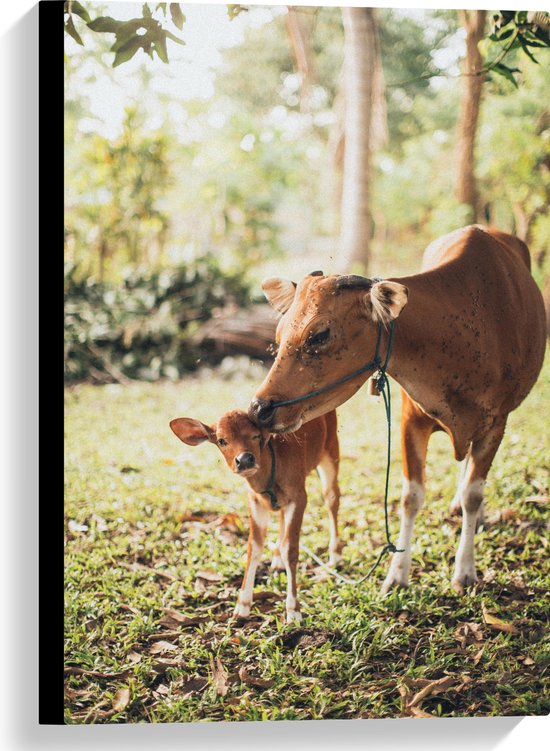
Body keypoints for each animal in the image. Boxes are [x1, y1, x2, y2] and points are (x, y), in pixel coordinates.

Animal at [250, 226, 548, 596]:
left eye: (319, 335)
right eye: (278, 336)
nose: (259, 408)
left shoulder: (496, 423)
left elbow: (474, 494)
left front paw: (465, 570)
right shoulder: (411, 418)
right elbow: (410, 496)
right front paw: (397, 574)